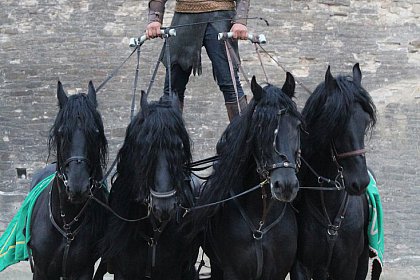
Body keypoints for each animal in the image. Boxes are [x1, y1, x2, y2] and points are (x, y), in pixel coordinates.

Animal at [28, 80, 108, 278]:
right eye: (62, 132)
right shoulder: (41, 271)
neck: (67, 227)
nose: (77, 186)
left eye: (95, 132)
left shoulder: (83, 271)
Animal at [192, 75, 304, 280]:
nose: (286, 186)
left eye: (297, 126)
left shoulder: (277, 272)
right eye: (259, 127)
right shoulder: (233, 272)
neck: (261, 222)